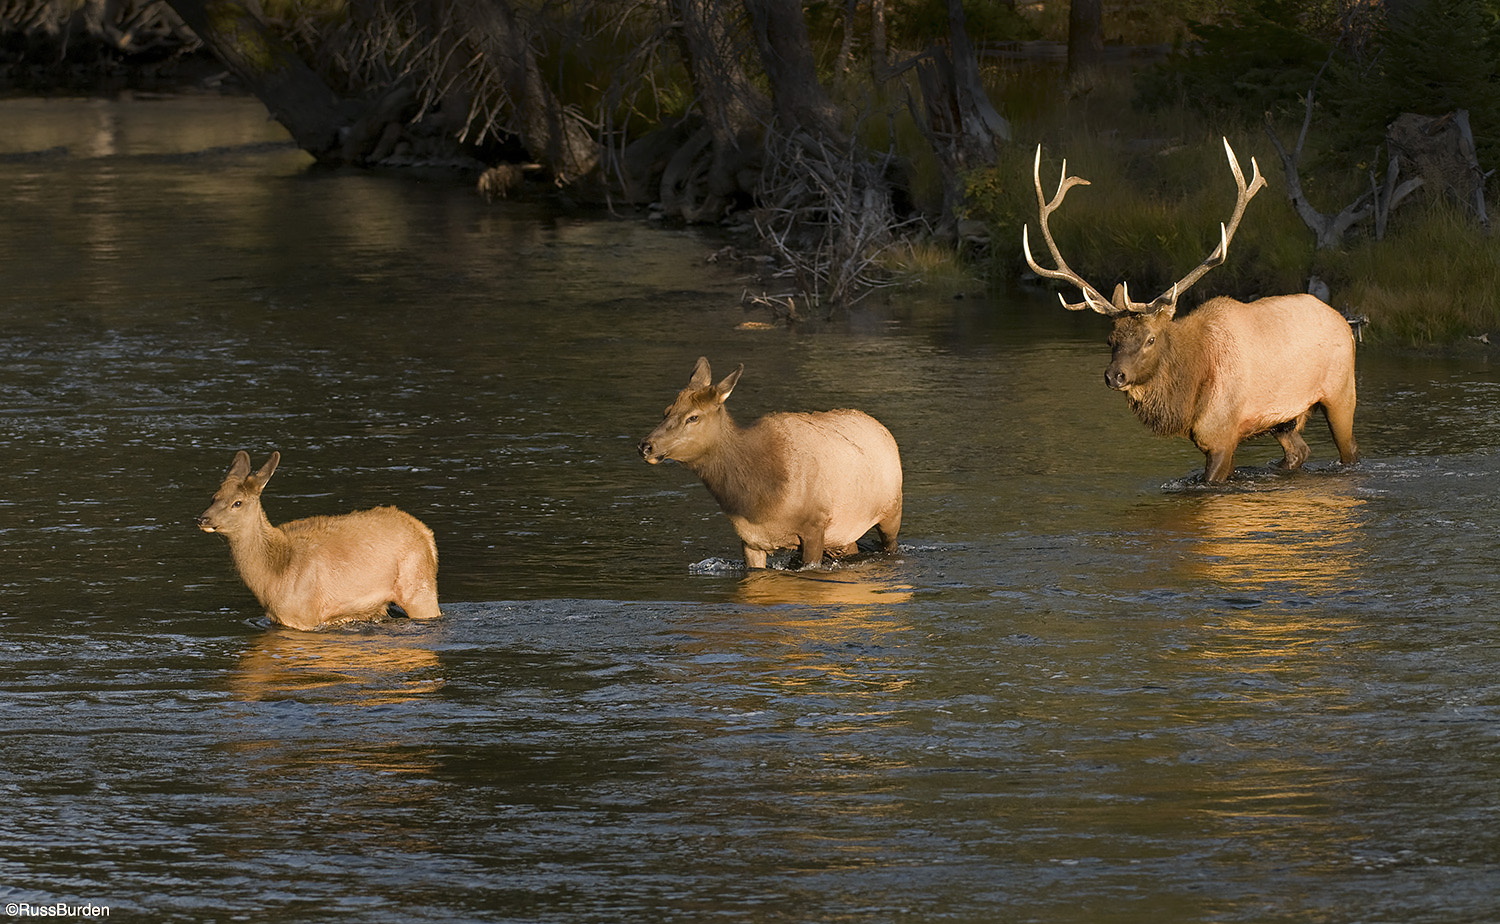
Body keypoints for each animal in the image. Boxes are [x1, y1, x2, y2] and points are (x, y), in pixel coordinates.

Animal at [198, 450, 438, 633]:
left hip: (419, 586)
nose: (203, 518)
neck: (273, 577)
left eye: (237, 503)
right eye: (213, 497)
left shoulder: (304, 615)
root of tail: (426, 534)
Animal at [636, 355, 900, 567]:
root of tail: (881, 427)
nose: (646, 446)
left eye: (693, 417)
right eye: (666, 411)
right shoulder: (750, 539)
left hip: (891, 512)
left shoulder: (815, 525)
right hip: (843, 535)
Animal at [1020, 138, 1362, 483]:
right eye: (1110, 339)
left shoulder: (1222, 435)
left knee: (1350, 450)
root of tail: (1344, 322)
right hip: (1284, 418)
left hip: (1341, 391)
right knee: (1298, 452)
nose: (1114, 375)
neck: (1189, 391)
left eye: (1150, 339)